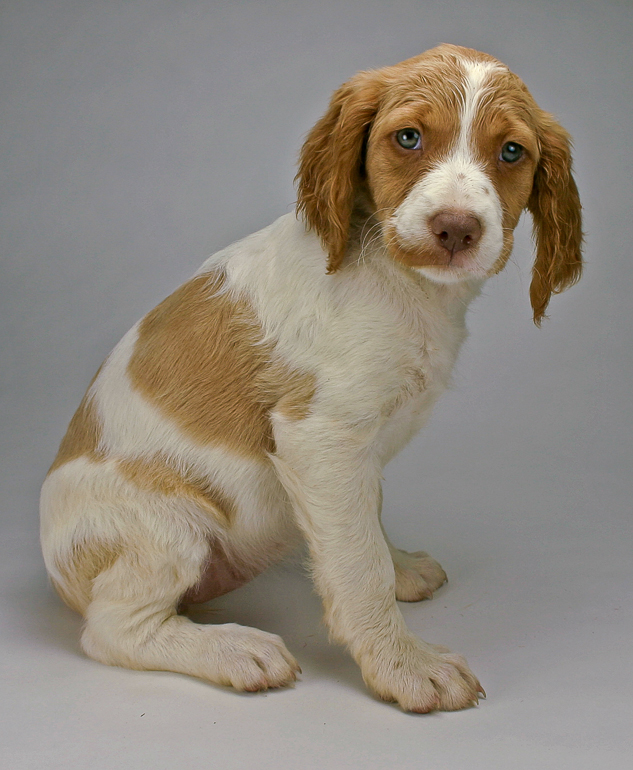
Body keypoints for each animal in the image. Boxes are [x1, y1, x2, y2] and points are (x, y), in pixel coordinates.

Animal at [40, 45, 584, 712]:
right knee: (113, 630)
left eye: (511, 152)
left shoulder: (358, 452)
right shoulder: (322, 437)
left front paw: (400, 568)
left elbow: (367, 523)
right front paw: (405, 666)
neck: (403, 284)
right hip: (165, 527)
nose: (456, 229)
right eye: (408, 138)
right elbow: (358, 564)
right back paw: (236, 650)